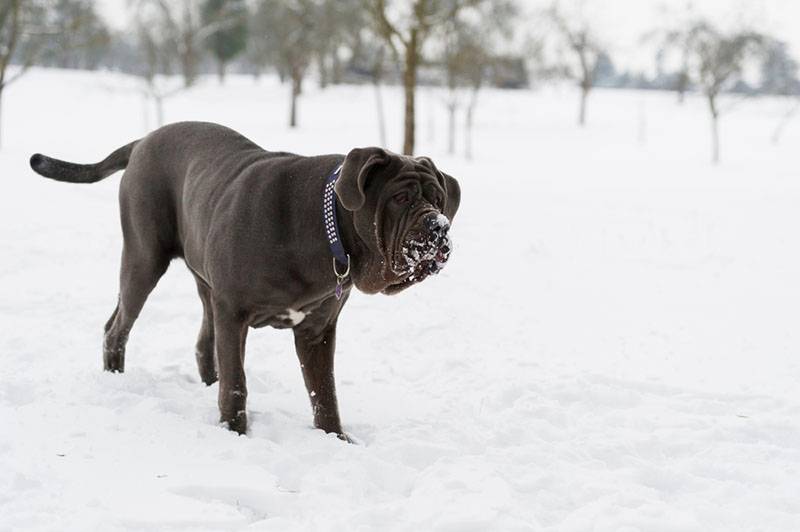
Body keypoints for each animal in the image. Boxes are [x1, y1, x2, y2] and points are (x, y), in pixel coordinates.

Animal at [29, 121, 462, 440]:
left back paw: (207, 383)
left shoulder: (317, 331)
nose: (438, 226)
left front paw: (335, 438)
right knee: (118, 325)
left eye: (439, 199)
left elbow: (324, 391)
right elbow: (238, 381)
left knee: (204, 342)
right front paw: (235, 431)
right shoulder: (234, 311)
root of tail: (143, 141)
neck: (324, 228)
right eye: (400, 199)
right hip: (143, 259)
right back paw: (116, 378)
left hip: (205, 284)